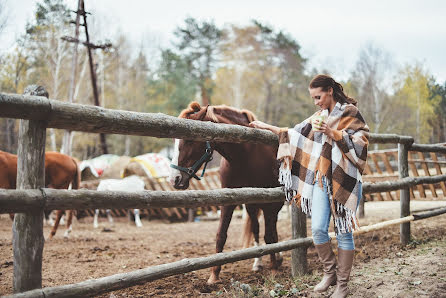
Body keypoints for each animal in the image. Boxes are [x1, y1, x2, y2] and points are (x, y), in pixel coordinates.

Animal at [169, 102, 284, 284]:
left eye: (189, 139)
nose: (175, 179)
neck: (247, 155)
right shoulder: (229, 200)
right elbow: (221, 235)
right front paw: (214, 275)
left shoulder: (271, 203)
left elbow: (269, 235)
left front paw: (273, 269)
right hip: (252, 205)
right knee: (257, 229)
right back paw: (258, 262)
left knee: (271, 230)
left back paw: (277, 259)